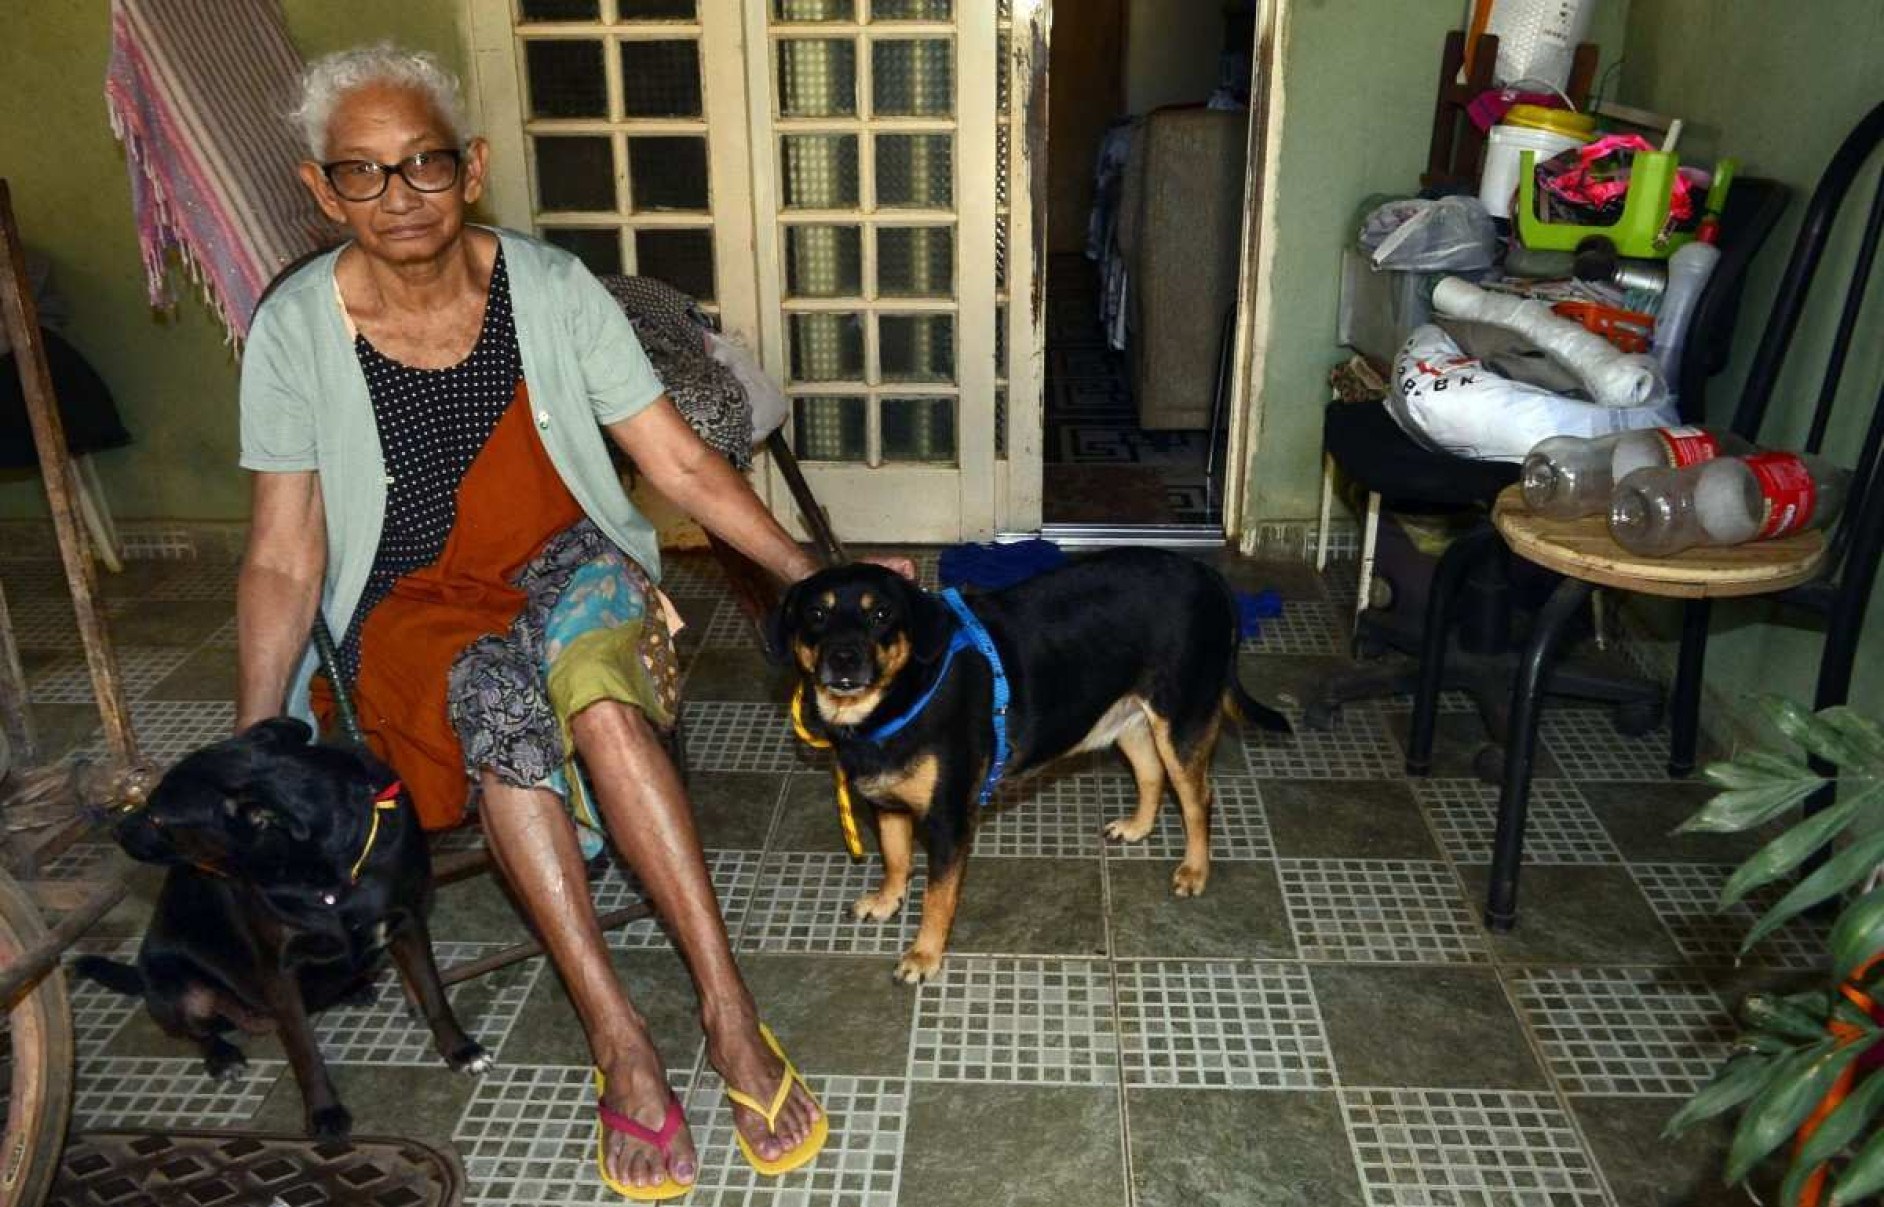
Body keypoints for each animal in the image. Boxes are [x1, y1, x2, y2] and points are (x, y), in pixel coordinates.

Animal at [76, 719, 489, 1137]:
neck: (329, 872)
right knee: (199, 1032)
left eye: (158, 818)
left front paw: (461, 1051)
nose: (116, 830)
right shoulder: (279, 971)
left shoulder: (408, 923)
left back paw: (356, 989)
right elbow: (304, 1049)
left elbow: (433, 995)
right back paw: (222, 1057)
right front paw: (324, 1112)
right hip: (174, 987)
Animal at [772, 546, 1288, 979]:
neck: (900, 697)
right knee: (1150, 774)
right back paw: (1138, 827)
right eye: (816, 614)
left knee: (1199, 800)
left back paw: (1195, 870)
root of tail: (1208, 575)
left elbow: (937, 896)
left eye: (880, 615)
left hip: (1182, 723)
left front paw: (924, 954)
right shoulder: (887, 803)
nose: (844, 658)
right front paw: (886, 899)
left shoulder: (947, 821)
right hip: (1128, 720)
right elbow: (895, 857)